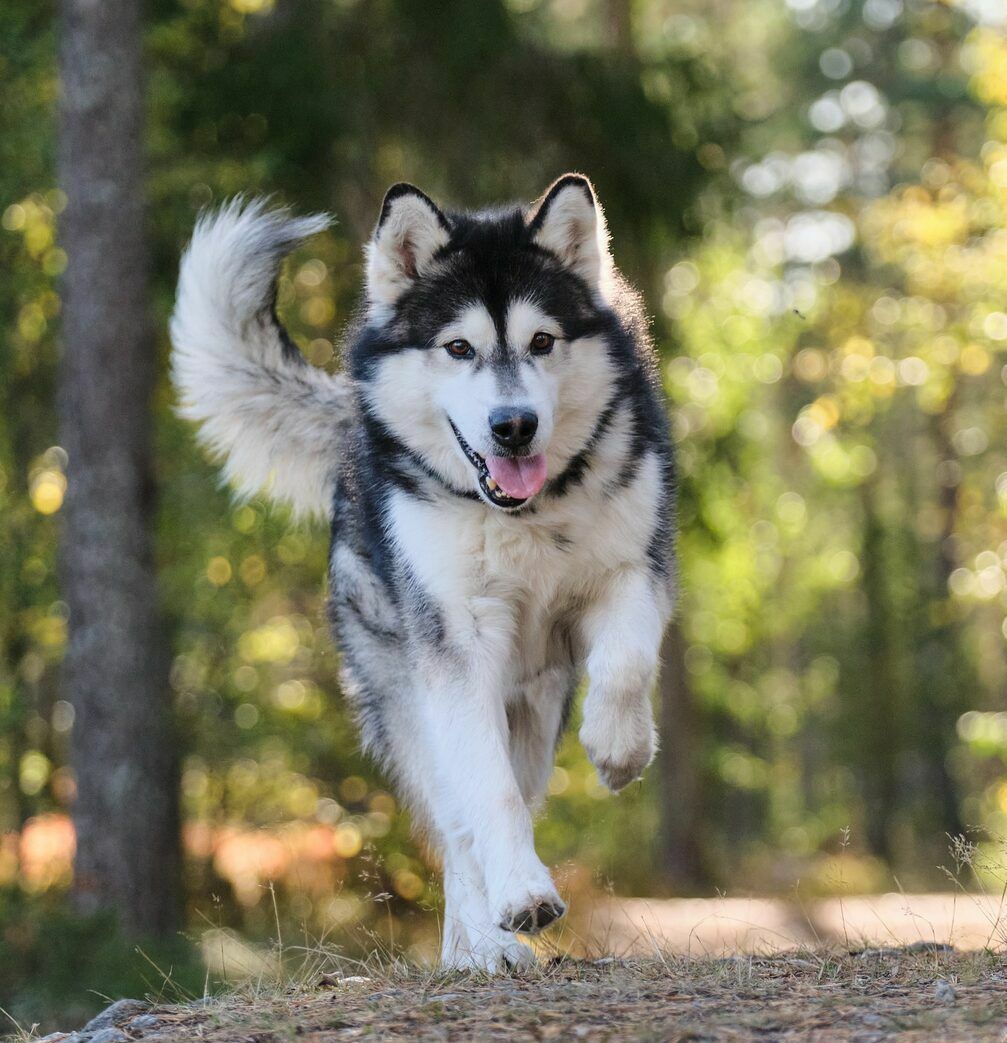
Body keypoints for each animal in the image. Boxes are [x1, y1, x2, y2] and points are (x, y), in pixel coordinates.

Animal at [171, 173, 676, 967]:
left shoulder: (634, 568)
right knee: (461, 821)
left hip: (533, 707)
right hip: (414, 698)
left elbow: (625, 663)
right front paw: (518, 899)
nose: (513, 425)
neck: (523, 517)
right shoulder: (457, 647)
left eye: (541, 341)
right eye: (458, 347)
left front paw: (619, 750)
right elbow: (487, 796)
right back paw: (482, 944)